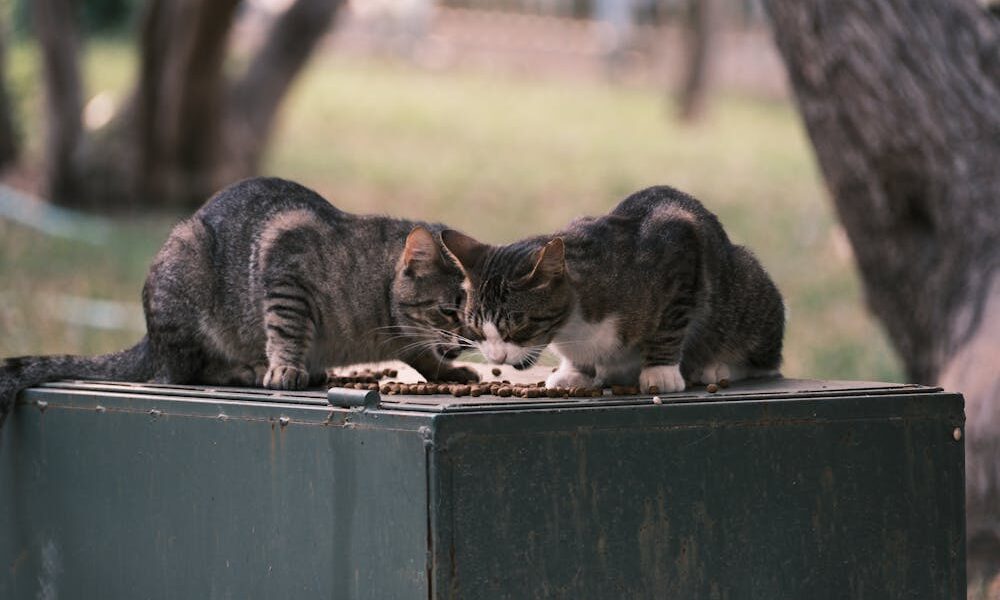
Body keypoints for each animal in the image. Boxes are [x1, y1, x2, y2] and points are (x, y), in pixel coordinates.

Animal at [0, 178, 476, 426]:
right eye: (449, 310)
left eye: (479, 317)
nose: (469, 341)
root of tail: (150, 339)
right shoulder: (285, 267)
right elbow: (287, 328)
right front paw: (285, 367)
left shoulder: (407, 339)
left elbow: (423, 354)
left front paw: (448, 370)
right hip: (186, 267)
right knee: (182, 374)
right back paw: (249, 369)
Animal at [442, 188, 784, 394]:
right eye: (476, 328)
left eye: (519, 326)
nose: (497, 357)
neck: (573, 325)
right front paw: (574, 370)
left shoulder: (680, 250)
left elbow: (670, 325)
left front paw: (660, 371)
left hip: (746, 290)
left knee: (765, 362)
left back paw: (717, 366)